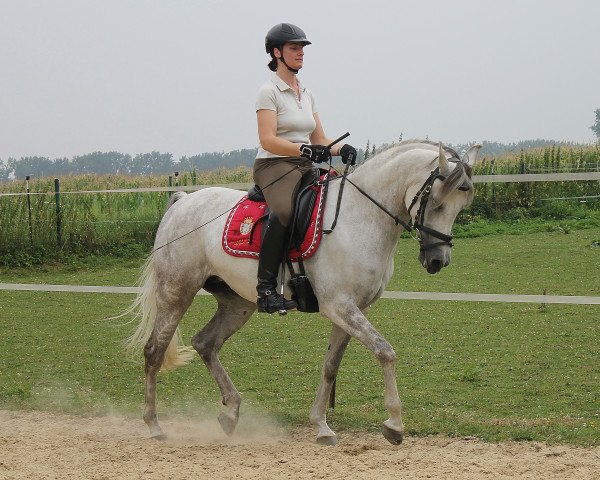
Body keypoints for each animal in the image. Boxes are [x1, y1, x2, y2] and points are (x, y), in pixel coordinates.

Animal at [125, 140, 482, 446]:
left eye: (460, 206)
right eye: (436, 201)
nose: (437, 260)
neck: (359, 218)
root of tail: (184, 201)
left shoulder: (353, 310)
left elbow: (330, 367)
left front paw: (322, 426)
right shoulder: (339, 306)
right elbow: (385, 351)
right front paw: (394, 425)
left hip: (237, 303)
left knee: (205, 343)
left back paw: (231, 412)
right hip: (176, 291)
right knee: (154, 351)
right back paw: (154, 426)